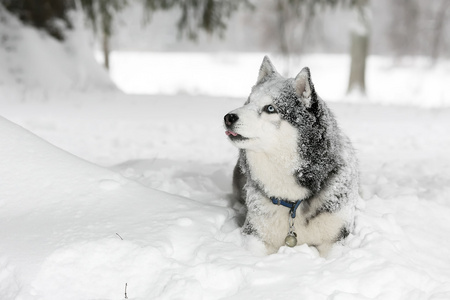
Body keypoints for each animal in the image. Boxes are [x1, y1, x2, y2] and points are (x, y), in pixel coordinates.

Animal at [224, 56, 358, 255]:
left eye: (270, 108)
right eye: (248, 102)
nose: (228, 117)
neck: (292, 201)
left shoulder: (336, 239)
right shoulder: (255, 235)